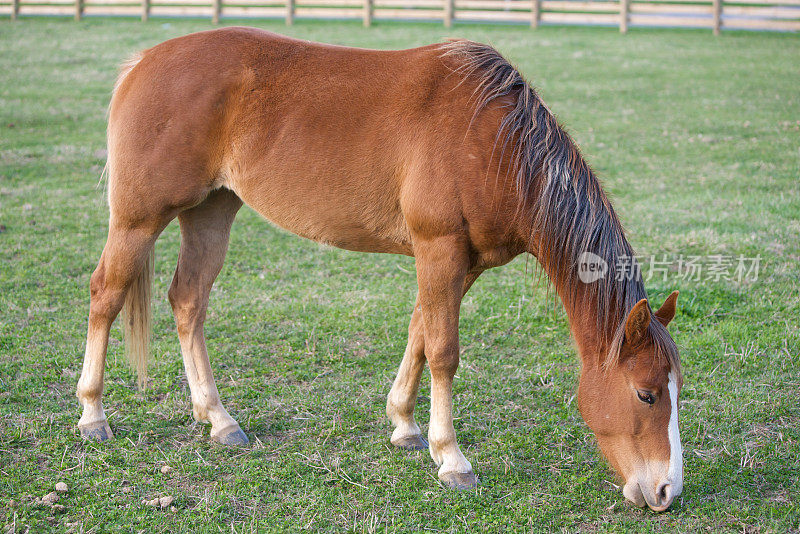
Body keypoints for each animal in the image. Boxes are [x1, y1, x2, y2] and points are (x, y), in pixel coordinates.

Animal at [78, 27, 684, 512]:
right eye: (646, 395)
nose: (666, 491)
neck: (493, 142)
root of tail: (144, 61)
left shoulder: (459, 264)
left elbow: (419, 332)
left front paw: (405, 426)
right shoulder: (440, 250)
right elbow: (443, 351)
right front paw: (452, 459)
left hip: (211, 211)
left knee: (188, 302)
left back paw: (217, 418)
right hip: (138, 219)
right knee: (106, 294)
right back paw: (93, 415)